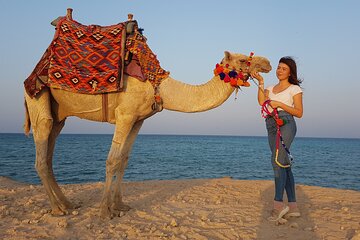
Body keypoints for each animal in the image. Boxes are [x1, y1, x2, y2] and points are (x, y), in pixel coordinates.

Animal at [23, 12, 270, 218]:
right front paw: (104, 212)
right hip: (37, 97)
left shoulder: (138, 120)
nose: (267, 62)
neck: (157, 85)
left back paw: (67, 203)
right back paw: (58, 209)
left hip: (60, 114)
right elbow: (112, 160)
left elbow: (123, 160)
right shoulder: (125, 114)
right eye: (242, 59)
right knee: (42, 149)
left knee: (50, 152)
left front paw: (119, 206)